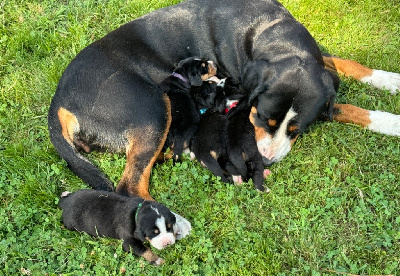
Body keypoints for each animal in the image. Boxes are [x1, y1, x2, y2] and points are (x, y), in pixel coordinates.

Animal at [47, 0, 400, 199]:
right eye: (260, 118)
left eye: (296, 131)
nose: (266, 161)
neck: (266, 29)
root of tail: (59, 100)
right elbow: (343, 108)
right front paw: (391, 121)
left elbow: (343, 63)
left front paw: (389, 80)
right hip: (152, 110)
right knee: (130, 188)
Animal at [58, 190, 192, 266]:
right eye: (154, 233)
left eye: (169, 227)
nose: (167, 243)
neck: (136, 213)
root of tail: (66, 203)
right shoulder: (129, 241)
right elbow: (144, 250)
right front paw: (157, 259)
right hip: (71, 224)